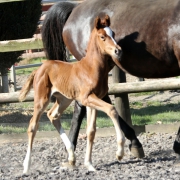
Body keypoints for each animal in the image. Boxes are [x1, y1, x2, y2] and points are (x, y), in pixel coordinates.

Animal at [19, 15, 124, 173]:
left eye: (113, 34)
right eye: (102, 36)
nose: (118, 51)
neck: (91, 68)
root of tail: (39, 69)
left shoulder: (92, 100)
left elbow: (91, 131)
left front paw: (89, 164)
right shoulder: (87, 98)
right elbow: (111, 110)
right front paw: (119, 153)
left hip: (64, 99)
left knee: (53, 115)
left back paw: (72, 156)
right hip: (42, 99)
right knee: (32, 126)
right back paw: (26, 166)